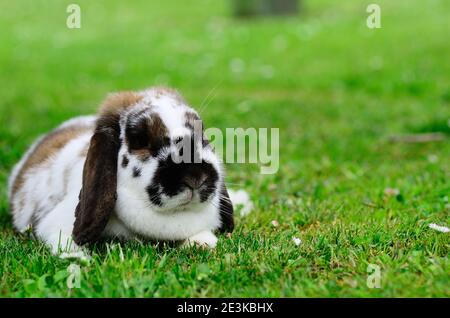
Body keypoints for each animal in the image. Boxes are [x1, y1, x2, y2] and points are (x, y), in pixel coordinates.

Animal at [7, 87, 236, 258]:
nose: (196, 177)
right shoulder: (54, 225)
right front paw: (80, 258)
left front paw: (202, 242)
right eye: (140, 140)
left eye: (202, 136)